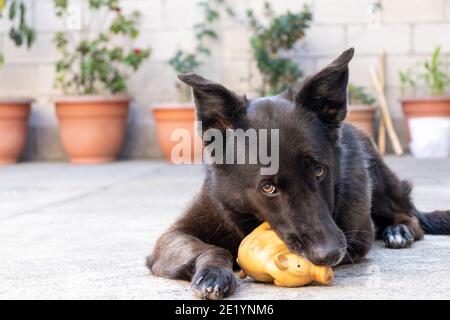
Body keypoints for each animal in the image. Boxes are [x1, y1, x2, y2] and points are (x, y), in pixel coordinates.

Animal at [149, 48, 450, 298]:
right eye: (268, 187)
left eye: (319, 170)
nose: (329, 254)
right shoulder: (171, 237)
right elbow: (212, 248)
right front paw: (213, 273)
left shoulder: (357, 237)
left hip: (380, 180)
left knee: (410, 216)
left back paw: (399, 230)